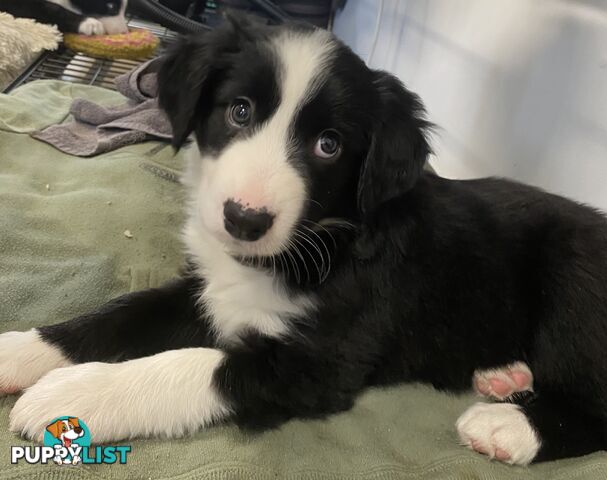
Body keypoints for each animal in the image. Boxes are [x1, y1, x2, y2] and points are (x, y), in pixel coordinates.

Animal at [1, 16, 607, 466]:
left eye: (329, 144)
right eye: (239, 110)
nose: (244, 220)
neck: (316, 243)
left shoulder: (321, 361)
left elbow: (197, 363)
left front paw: (77, 394)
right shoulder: (207, 288)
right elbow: (125, 312)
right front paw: (25, 350)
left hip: (578, 282)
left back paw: (506, 425)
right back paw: (504, 376)